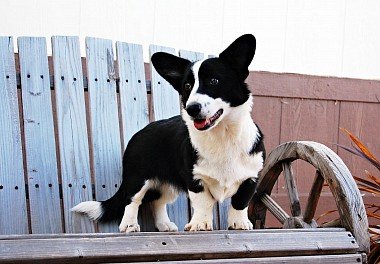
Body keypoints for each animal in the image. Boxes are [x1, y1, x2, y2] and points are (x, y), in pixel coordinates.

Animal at [72, 34, 266, 232]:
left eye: (214, 81)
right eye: (187, 85)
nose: (192, 108)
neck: (221, 136)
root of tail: (141, 131)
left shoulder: (250, 178)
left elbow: (240, 202)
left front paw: (239, 223)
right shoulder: (194, 179)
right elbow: (203, 202)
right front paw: (200, 223)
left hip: (168, 185)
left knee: (158, 202)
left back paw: (164, 225)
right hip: (137, 179)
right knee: (132, 200)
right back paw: (129, 224)